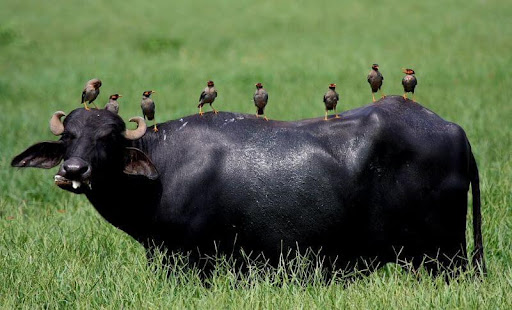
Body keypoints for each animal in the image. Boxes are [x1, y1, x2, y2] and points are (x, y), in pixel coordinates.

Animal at [10, 95, 486, 274]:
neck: (161, 169)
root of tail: (453, 129)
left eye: (107, 139)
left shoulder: (188, 260)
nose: (74, 170)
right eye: (68, 137)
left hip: (447, 256)